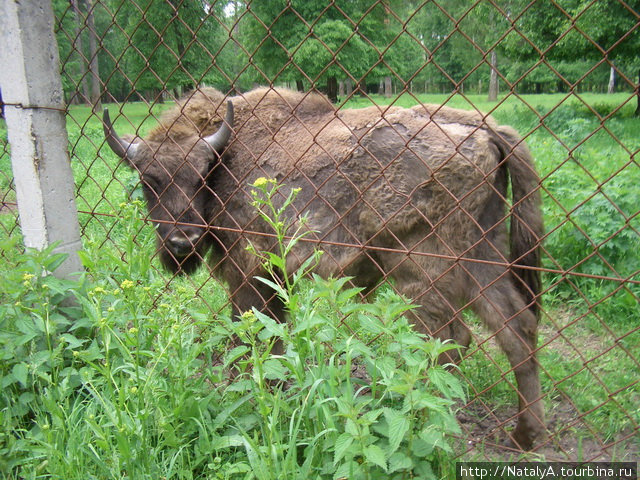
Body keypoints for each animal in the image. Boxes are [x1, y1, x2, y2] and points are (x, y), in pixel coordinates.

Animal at [105, 87, 544, 450]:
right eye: (149, 179)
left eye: (200, 176)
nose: (182, 243)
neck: (227, 154)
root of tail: (485, 130)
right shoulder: (274, 282)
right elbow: (274, 341)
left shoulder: (246, 276)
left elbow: (250, 341)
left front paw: (250, 397)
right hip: (482, 259)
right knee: (515, 330)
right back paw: (522, 436)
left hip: (422, 272)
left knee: (449, 341)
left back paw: (420, 420)